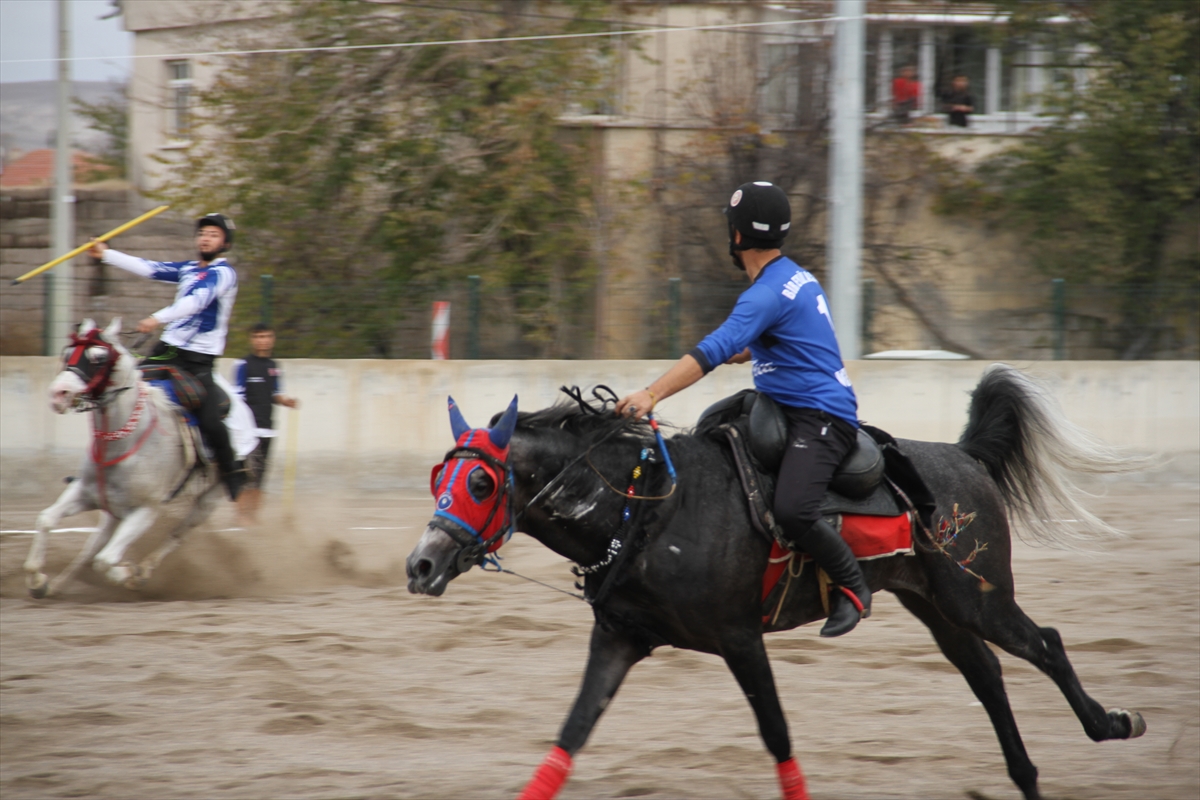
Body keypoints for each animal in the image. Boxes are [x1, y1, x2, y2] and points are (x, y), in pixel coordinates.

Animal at [23, 316, 254, 597]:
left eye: (99, 358)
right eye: (68, 354)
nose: (58, 394)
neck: (124, 441)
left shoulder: (144, 511)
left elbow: (106, 561)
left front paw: (130, 573)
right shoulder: (84, 492)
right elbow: (46, 520)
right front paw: (38, 580)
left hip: (209, 500)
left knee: (177, 534)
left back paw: (143, 570)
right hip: (112, 509)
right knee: (92, 546)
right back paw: (57, 585)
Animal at [408, 367, 1147, 800]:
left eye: (480, 482)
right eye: (439, 475)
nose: (420, 565)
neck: (647, 507)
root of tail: (964, 457)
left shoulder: (740, 639)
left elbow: (778, 735)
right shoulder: (620, 640)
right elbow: (571, 734)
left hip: (978, 594)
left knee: (1045, 643)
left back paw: (1113, 722)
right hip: (935, 604)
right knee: (987, 676)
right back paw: (1026, 776)